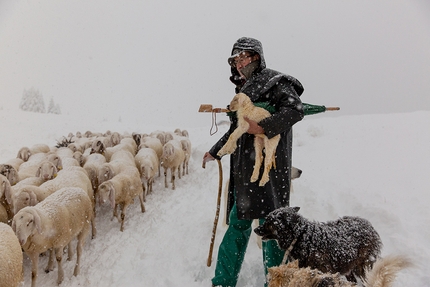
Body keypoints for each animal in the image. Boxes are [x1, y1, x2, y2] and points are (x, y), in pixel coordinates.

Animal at [254, 207, 382, 284]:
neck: (300, 237)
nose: (255, 229)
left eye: (269, 222)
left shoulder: (325, 272)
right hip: (348, 266)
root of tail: (369, 225)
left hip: (361, 267)